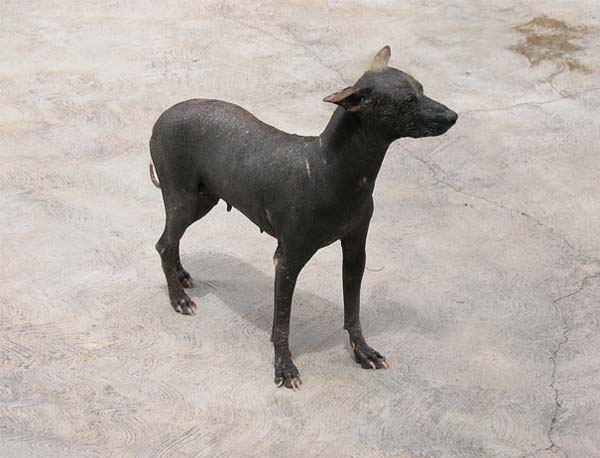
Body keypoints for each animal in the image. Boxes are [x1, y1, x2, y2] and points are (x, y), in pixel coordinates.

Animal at [149, 46, 454, 390]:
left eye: (422, 89)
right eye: (407, 101)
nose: (453, 116)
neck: (327, 168)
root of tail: (164, 114)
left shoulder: (356, 251)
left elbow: (353, 310)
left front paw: (363, 351)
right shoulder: (287, 260)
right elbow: (282, 323)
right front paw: (284, 367)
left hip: (204, 200)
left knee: (172, 239)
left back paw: (181, 276)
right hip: (183, 199)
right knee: (164, 243)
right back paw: (178, 298)